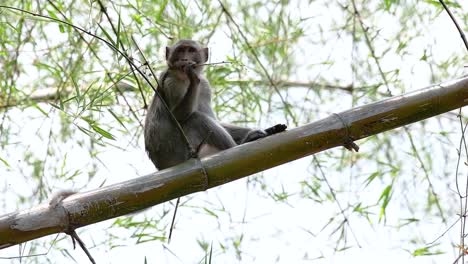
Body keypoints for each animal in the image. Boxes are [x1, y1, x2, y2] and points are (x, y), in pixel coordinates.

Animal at [144, 40, 288, 170]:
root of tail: (162, 166)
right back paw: (241, 144)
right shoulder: (172, 82)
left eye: (191, 50)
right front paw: (193, 77)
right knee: (196, 118)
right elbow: (178, 116)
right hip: (181, 154)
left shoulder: (205, 86)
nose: (184, 58)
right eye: (180, 50)